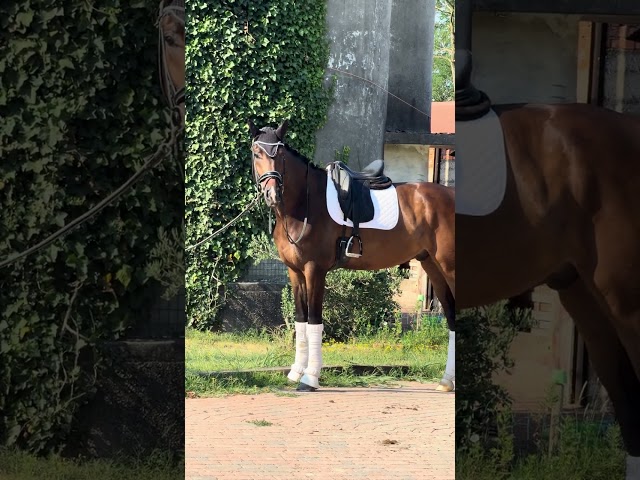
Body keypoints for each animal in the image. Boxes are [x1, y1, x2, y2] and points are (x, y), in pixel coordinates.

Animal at [248, 119, 456, 392]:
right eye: (256, 153)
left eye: (280, 154)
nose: (273, 195)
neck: (305, 203)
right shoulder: (295, 272)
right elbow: (301, 320)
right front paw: (295, 372)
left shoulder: (314, 270)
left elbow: (314, 320)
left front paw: (310, 378)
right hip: (433, 266)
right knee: (452, 317)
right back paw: (446, 381)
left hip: (449, 267)